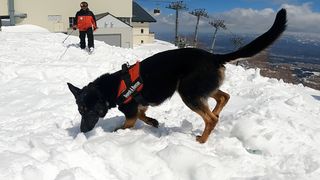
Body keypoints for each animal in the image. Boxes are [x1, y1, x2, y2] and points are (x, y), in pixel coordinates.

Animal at [68, 9, 288, 143]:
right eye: (79, 110)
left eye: (88, 110)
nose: (83, 131)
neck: (112, 87)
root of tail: (214, 57)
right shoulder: (141, 105)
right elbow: (143, 114)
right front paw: (153, 122)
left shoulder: (130, 113)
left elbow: (125, 125)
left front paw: (114, 133)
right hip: (199, 88)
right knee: (224, 96)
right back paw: (216, 113)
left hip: (188, 91)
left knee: (211, 119)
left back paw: (202, 139)